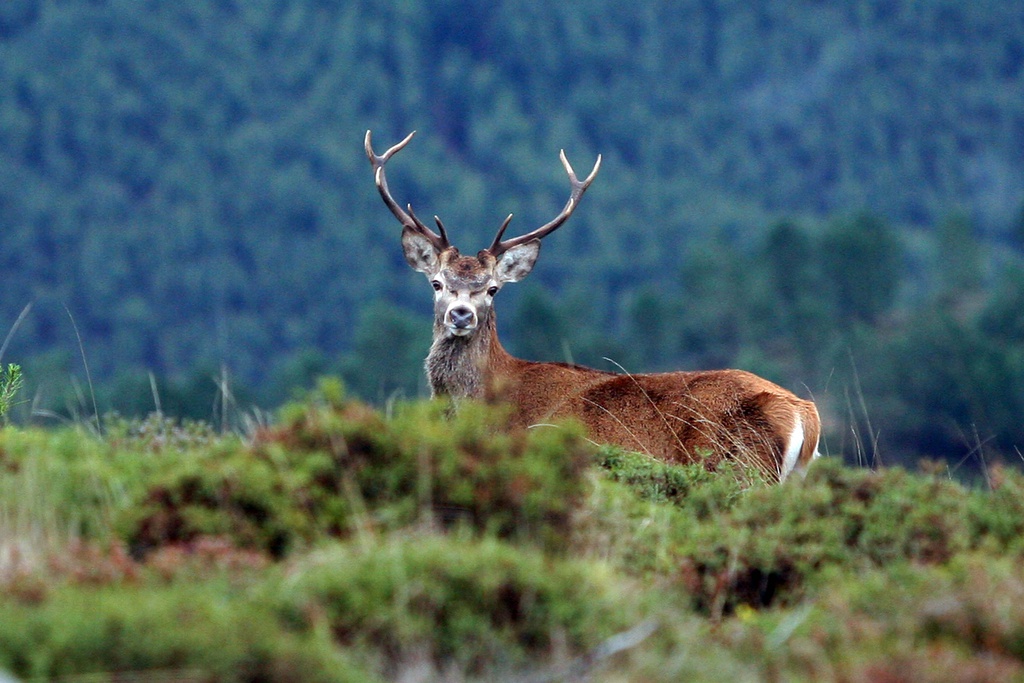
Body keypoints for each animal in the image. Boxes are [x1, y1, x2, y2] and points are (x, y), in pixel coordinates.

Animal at [364, 127, 819, 481]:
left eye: (492, 289)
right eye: (437, 283)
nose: (461, 314)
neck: (489, 402)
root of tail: (806, 416)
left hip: (738, 468)